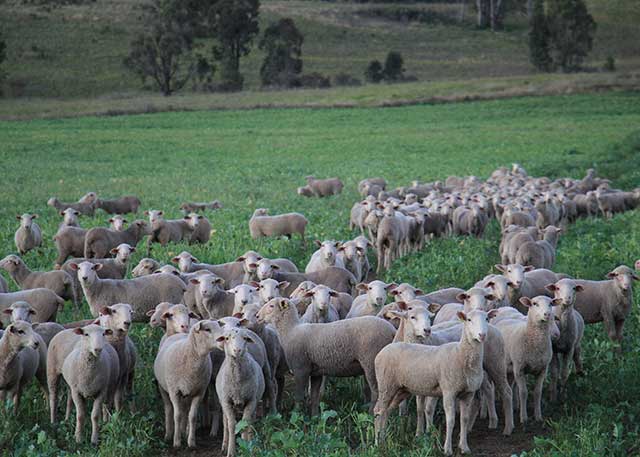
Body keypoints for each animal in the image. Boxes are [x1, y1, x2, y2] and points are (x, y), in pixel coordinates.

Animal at [154, 318, 222, 446]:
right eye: (207, 329)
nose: (223, 339)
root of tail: (177, 334)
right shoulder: (174, 392)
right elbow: (177, 415)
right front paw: (176, 442)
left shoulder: (199, 392)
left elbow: (192, 416)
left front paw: (191, 442)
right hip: (163, 388)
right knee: (169, 409)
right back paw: (169, 434)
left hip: (188, 391)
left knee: (185, 410)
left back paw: (184, 432)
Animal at [215, 326, 264, 454]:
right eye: (227, 338)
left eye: (245, 338)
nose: (237, 350)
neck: (237, 383)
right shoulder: (226, 402)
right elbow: (232, 425)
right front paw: (231, 451)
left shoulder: (251, 401)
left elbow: (245, 424)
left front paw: (247, 447)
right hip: (223, 403)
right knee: (225, 423)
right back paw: (224, 445)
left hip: (254, 402)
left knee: (250, 421)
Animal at [255, 298, 396, 416]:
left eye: (271, 306)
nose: (257, 316)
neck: (290, 331)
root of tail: (392, 331)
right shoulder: (315, 372)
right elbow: (314, 396)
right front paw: (314, 416)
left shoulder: (301, 369)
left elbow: (299, 395)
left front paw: (296, 414)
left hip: (371, 362)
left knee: (376, 393)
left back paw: (371, 414)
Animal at [376, 308, 500, 454]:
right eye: (469, 320)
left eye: (487, 318)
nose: (482, 335)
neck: (460, 354)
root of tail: (383, 350)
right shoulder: (448, 391)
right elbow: (450, 420)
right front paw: (446, 448)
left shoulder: (468, 393)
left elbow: (464, 419)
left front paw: (464, 447)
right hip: (386, 385)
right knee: (379, 410)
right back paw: (377, 442)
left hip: (401, 389)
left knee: (386, 411)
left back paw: (383, 439)